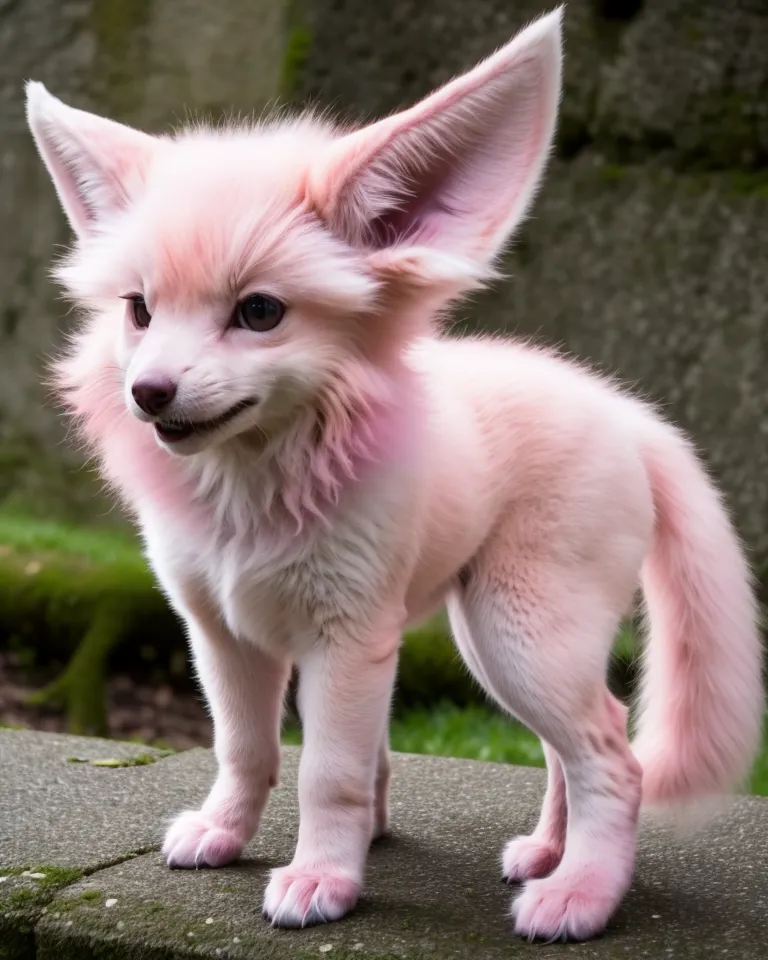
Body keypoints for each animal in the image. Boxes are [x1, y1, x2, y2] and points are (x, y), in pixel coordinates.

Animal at [27, 5, 764, 936]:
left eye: (259, 313)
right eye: (139, 310)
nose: (148, 394)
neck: (252, 490)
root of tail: (627, 413)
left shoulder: (349, 636)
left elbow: (328, 773)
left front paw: (323, 878)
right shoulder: (223, 632)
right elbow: (248, 749)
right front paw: (231, 835)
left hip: (520, 631)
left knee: (610, 751)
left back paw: (581, 894)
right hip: (494, 639)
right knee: (580, 738)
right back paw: (548, 854)